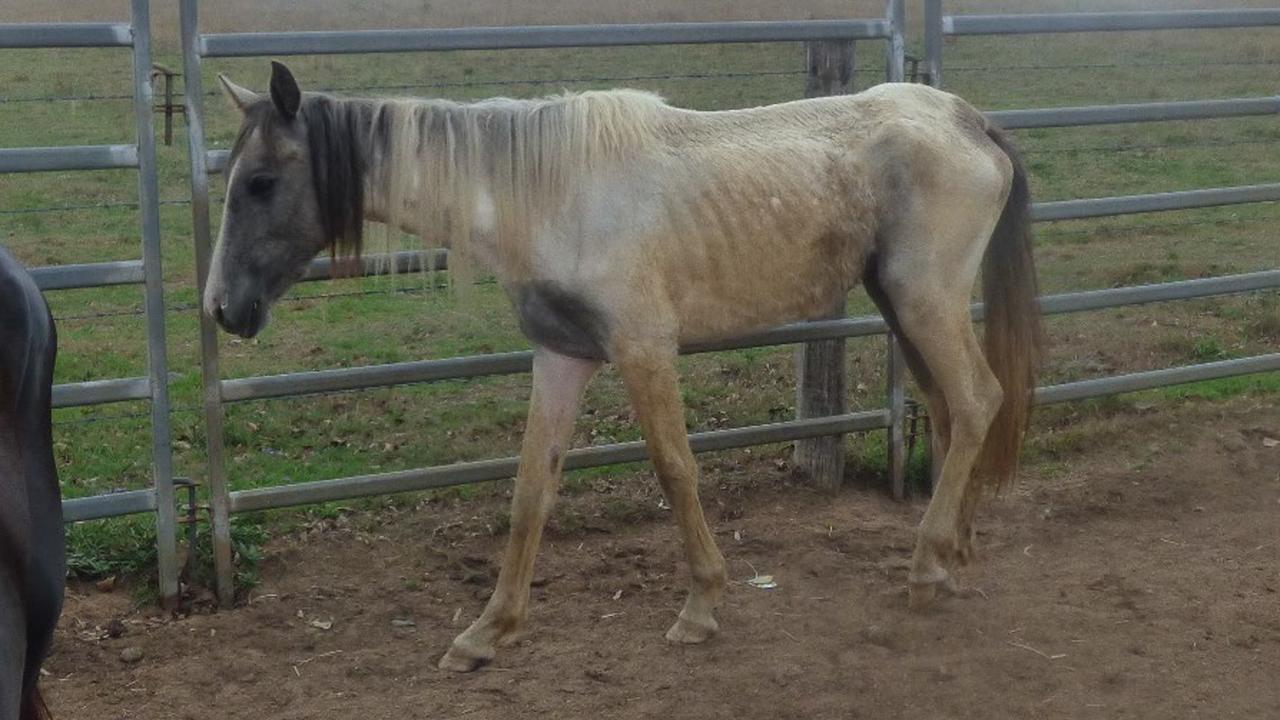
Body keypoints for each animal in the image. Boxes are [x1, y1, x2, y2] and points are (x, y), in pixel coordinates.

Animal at [205, 61, 1043, 672]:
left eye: (261, 183)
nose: (221, 307)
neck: (547, 193)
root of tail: (966, 119)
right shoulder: (563, 356)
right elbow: (530, 489)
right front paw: (488, 631)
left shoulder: (643, 349)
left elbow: (675, 469)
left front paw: (701, 608)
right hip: (901, 304)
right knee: (950, 407)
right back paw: (951, 553)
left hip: (925, 299)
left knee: (976, 400)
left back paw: (925, 568)